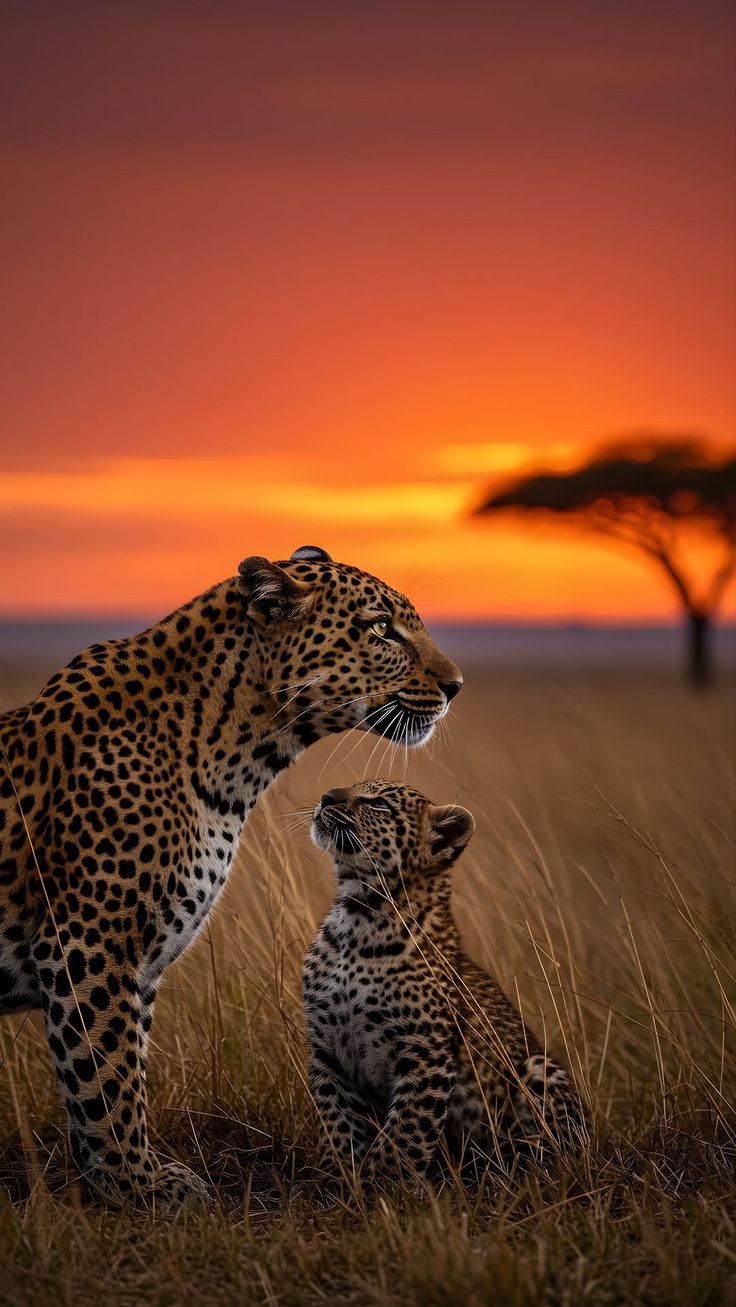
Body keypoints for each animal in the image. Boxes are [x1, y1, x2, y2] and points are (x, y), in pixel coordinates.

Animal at [0, 547, 462, 1208]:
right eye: (381, 629)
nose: (455, 686)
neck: (235, 758)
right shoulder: (88, 942)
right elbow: (105, 1077)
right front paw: (138, 1185)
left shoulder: (138, 963)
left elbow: (121, 1072)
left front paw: (117, 1183)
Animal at [303, 779, 587, 1186]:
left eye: (379, 804)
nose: (327, 797)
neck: (356, 922)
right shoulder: (326, 1052)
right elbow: (338, 1125)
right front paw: (339, 1183)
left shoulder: (425, 1055)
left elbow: (404, 1133)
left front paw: (386, 1189)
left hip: (539, 1069)